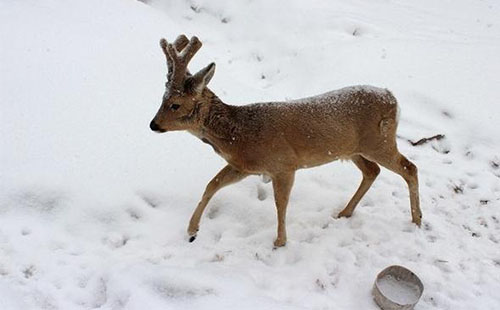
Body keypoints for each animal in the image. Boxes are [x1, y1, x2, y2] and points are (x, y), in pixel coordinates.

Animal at [149, 34, 422, 247]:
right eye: (161, 99)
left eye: (175, 104)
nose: (153, 124)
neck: (241, 134)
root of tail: (393, 99)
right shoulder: (243, 166)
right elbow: (211, 185)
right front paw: (192, 230)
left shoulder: (284, 165)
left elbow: (280, 203)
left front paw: (280, 242)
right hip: (354, 150)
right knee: (372, 171)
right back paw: (345, 212)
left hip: (379, 142)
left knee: (409, 167)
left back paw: (417, 219)